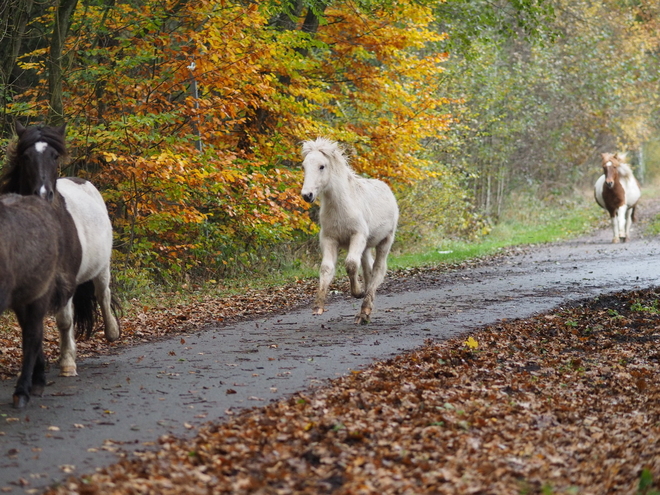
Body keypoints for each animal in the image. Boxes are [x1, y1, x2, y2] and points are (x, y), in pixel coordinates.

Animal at [0, 124, 120, 384]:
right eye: (26, 156)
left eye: (54, 156)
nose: (43, 193)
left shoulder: (64, 280)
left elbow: (65, 321)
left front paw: (67, 364)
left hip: (102, 267)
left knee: (102, 294)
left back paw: (112, 332)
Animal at [302, 139, 400, 326]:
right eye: (304, 166)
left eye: (322, 166)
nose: (307, 195)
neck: (340, 208)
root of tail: (386, 188)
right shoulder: (329, 239)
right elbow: (326, 268)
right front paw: (318, 306)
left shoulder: (357, 236)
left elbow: (350, 264)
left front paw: (358, 292)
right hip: (366, 247)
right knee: (368, 271)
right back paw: (363, 312)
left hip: (385, 241)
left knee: (377, 270)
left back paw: (365, 310)